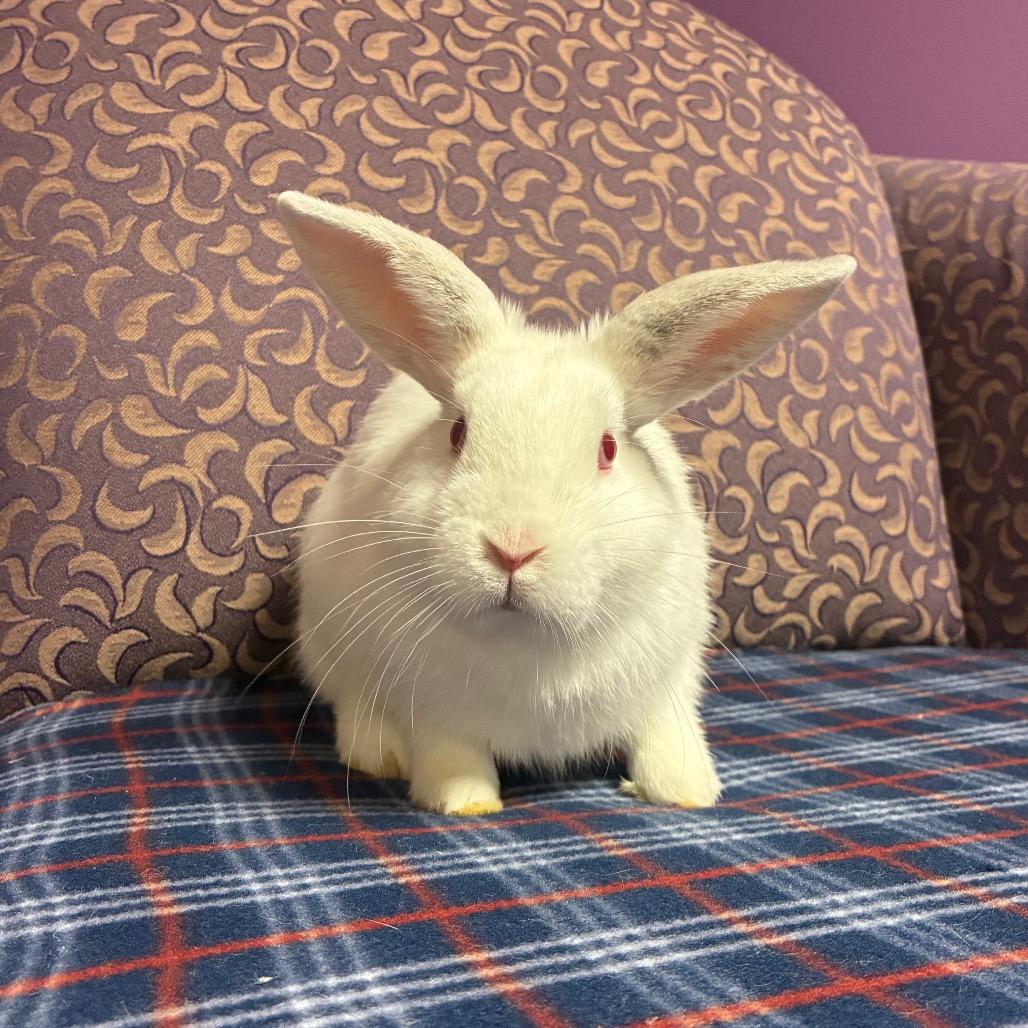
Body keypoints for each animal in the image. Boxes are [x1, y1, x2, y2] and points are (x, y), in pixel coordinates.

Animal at [275, 190, 855, 816]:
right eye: (458, 432)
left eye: (607, 448)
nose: (513, 550)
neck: (528, 645)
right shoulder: (431, 710)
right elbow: (450, 755)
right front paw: (466, 803)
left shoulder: (669, 680)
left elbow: (666, 732)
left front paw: (686, 792)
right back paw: (375, 753)